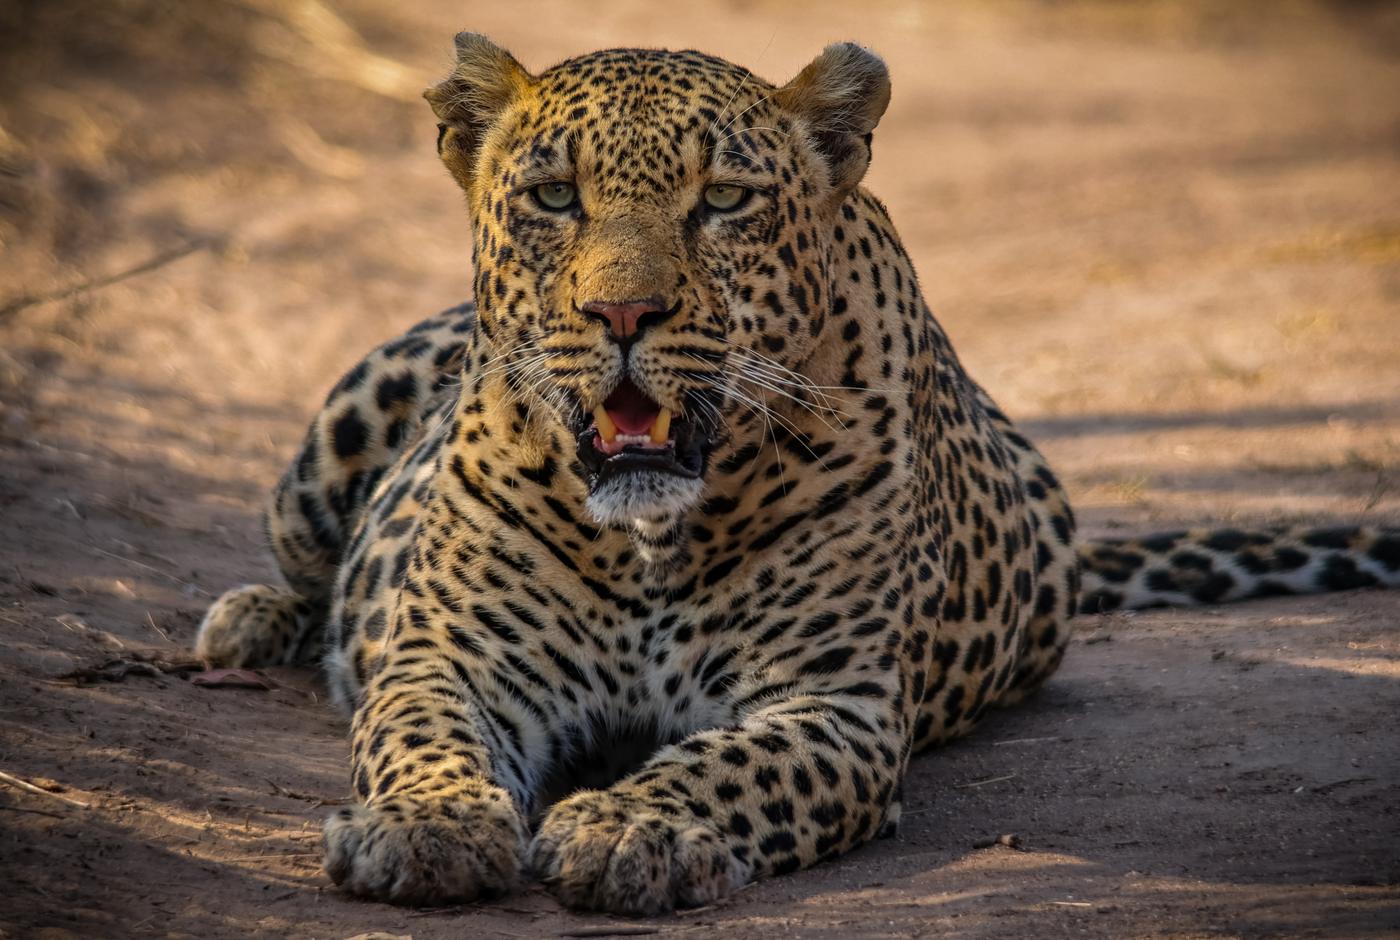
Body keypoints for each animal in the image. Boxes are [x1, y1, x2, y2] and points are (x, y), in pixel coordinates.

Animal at [195, 34, 1400, 914]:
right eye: (554, 197)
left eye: (724, 200)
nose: (622, 314)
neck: (648, 541)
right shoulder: (452, 660)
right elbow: (421, 739)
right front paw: (426, 829)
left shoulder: (834, 704)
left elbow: (721, 765)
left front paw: (632, 826)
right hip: (336, 430)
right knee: (304, 565)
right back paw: (249, 621)